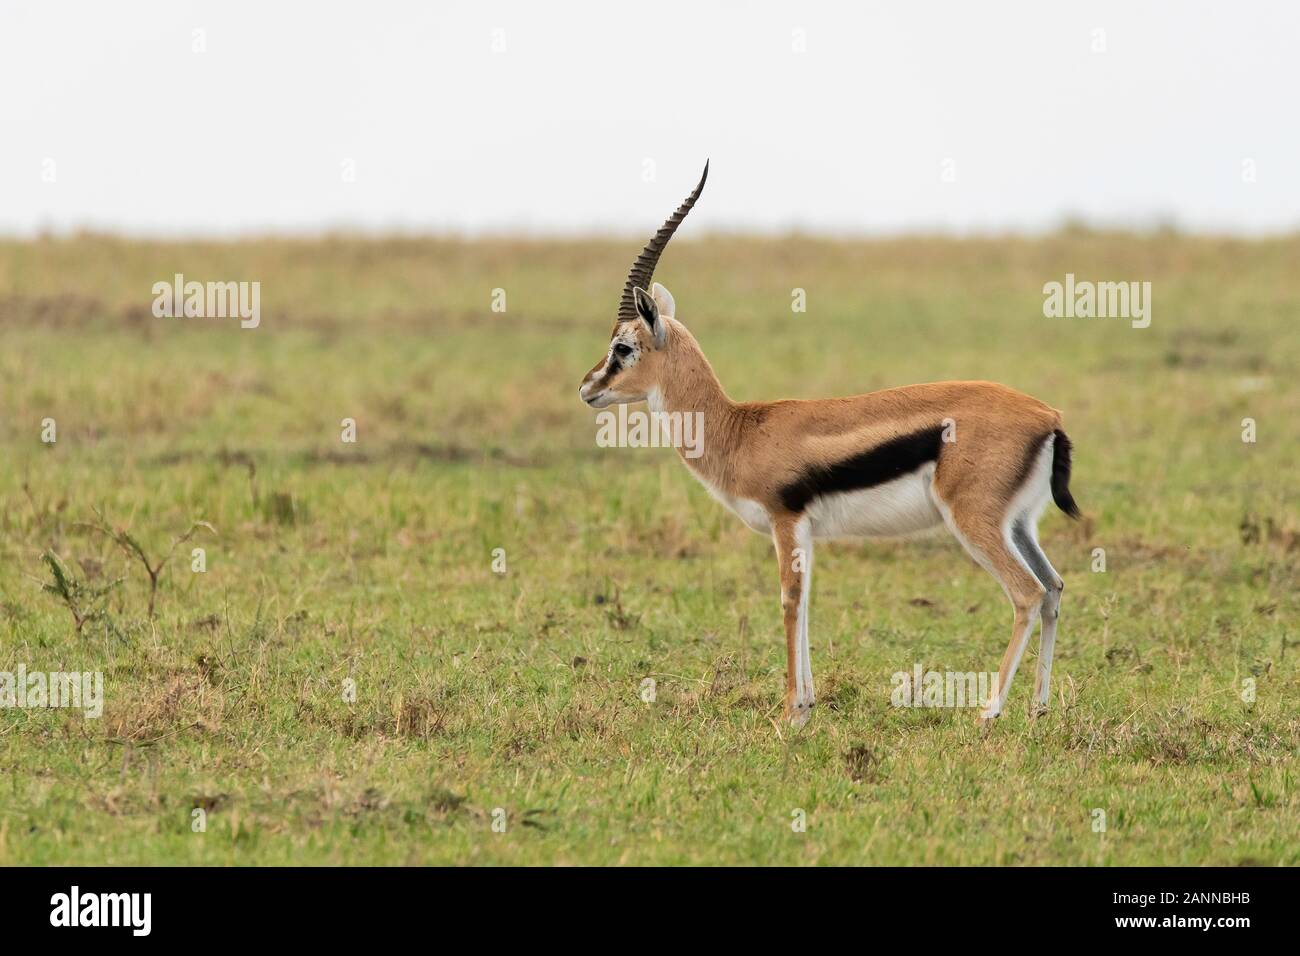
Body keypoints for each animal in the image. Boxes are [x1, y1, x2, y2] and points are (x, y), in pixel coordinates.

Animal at [579, 163, 1081, 727]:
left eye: (623, 347)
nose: (587, 388)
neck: (739, 429)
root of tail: (1048, 417)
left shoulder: (785, 521)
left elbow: (789, 601)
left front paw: (790, 712)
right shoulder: (807, 533)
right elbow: (807, 603)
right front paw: (808, 705)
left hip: (974, 522)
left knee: (1027, 593)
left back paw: (987, 713)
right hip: (1018, 523)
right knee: (1054, 588)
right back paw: (1038, 709)